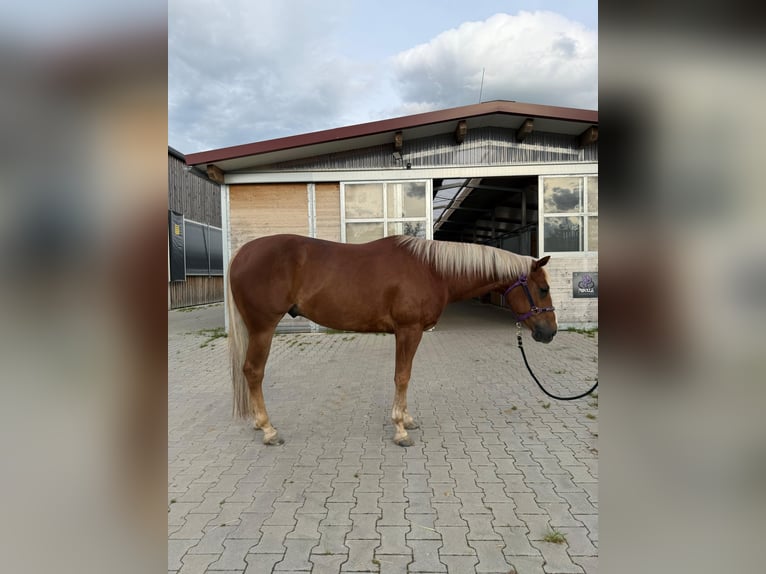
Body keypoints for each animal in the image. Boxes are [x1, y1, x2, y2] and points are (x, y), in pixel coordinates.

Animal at [227, 233, 557, 447]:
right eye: (543, 289)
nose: (550, 332)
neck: (432, 270)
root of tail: (241, 254)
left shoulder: (408, 332)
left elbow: (404, 377)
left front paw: (406, 420)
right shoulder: (408, 330)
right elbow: (402, 376)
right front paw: (400, 430)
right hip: (263, 327)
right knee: (253, 372)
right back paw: (268, 430)